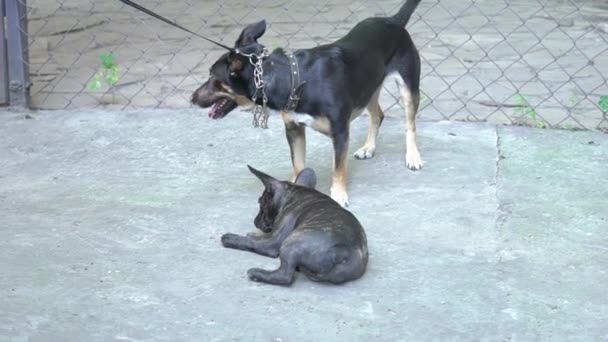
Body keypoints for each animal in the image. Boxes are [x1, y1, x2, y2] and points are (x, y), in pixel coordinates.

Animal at [194, 0, 422, 206]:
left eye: (212, 76)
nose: (192, 98)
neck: (293, 78)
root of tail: (393, 20)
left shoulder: (340, 132)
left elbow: (338, 169)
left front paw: (338, 195)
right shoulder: (294, 129)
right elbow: (298, 164)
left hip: (408, 87)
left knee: (410, 124)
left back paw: (413, 157)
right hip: (368, 89)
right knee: (378, 114)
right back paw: (368, 148)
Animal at [221, 166, 368, 286]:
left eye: (260, 202)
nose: (255, 221)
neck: (294, 193)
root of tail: (343, 255)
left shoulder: (274, 240)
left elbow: (252, 242)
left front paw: (232, 238)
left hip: (290, 243)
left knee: (285, 276)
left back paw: (257, 273)